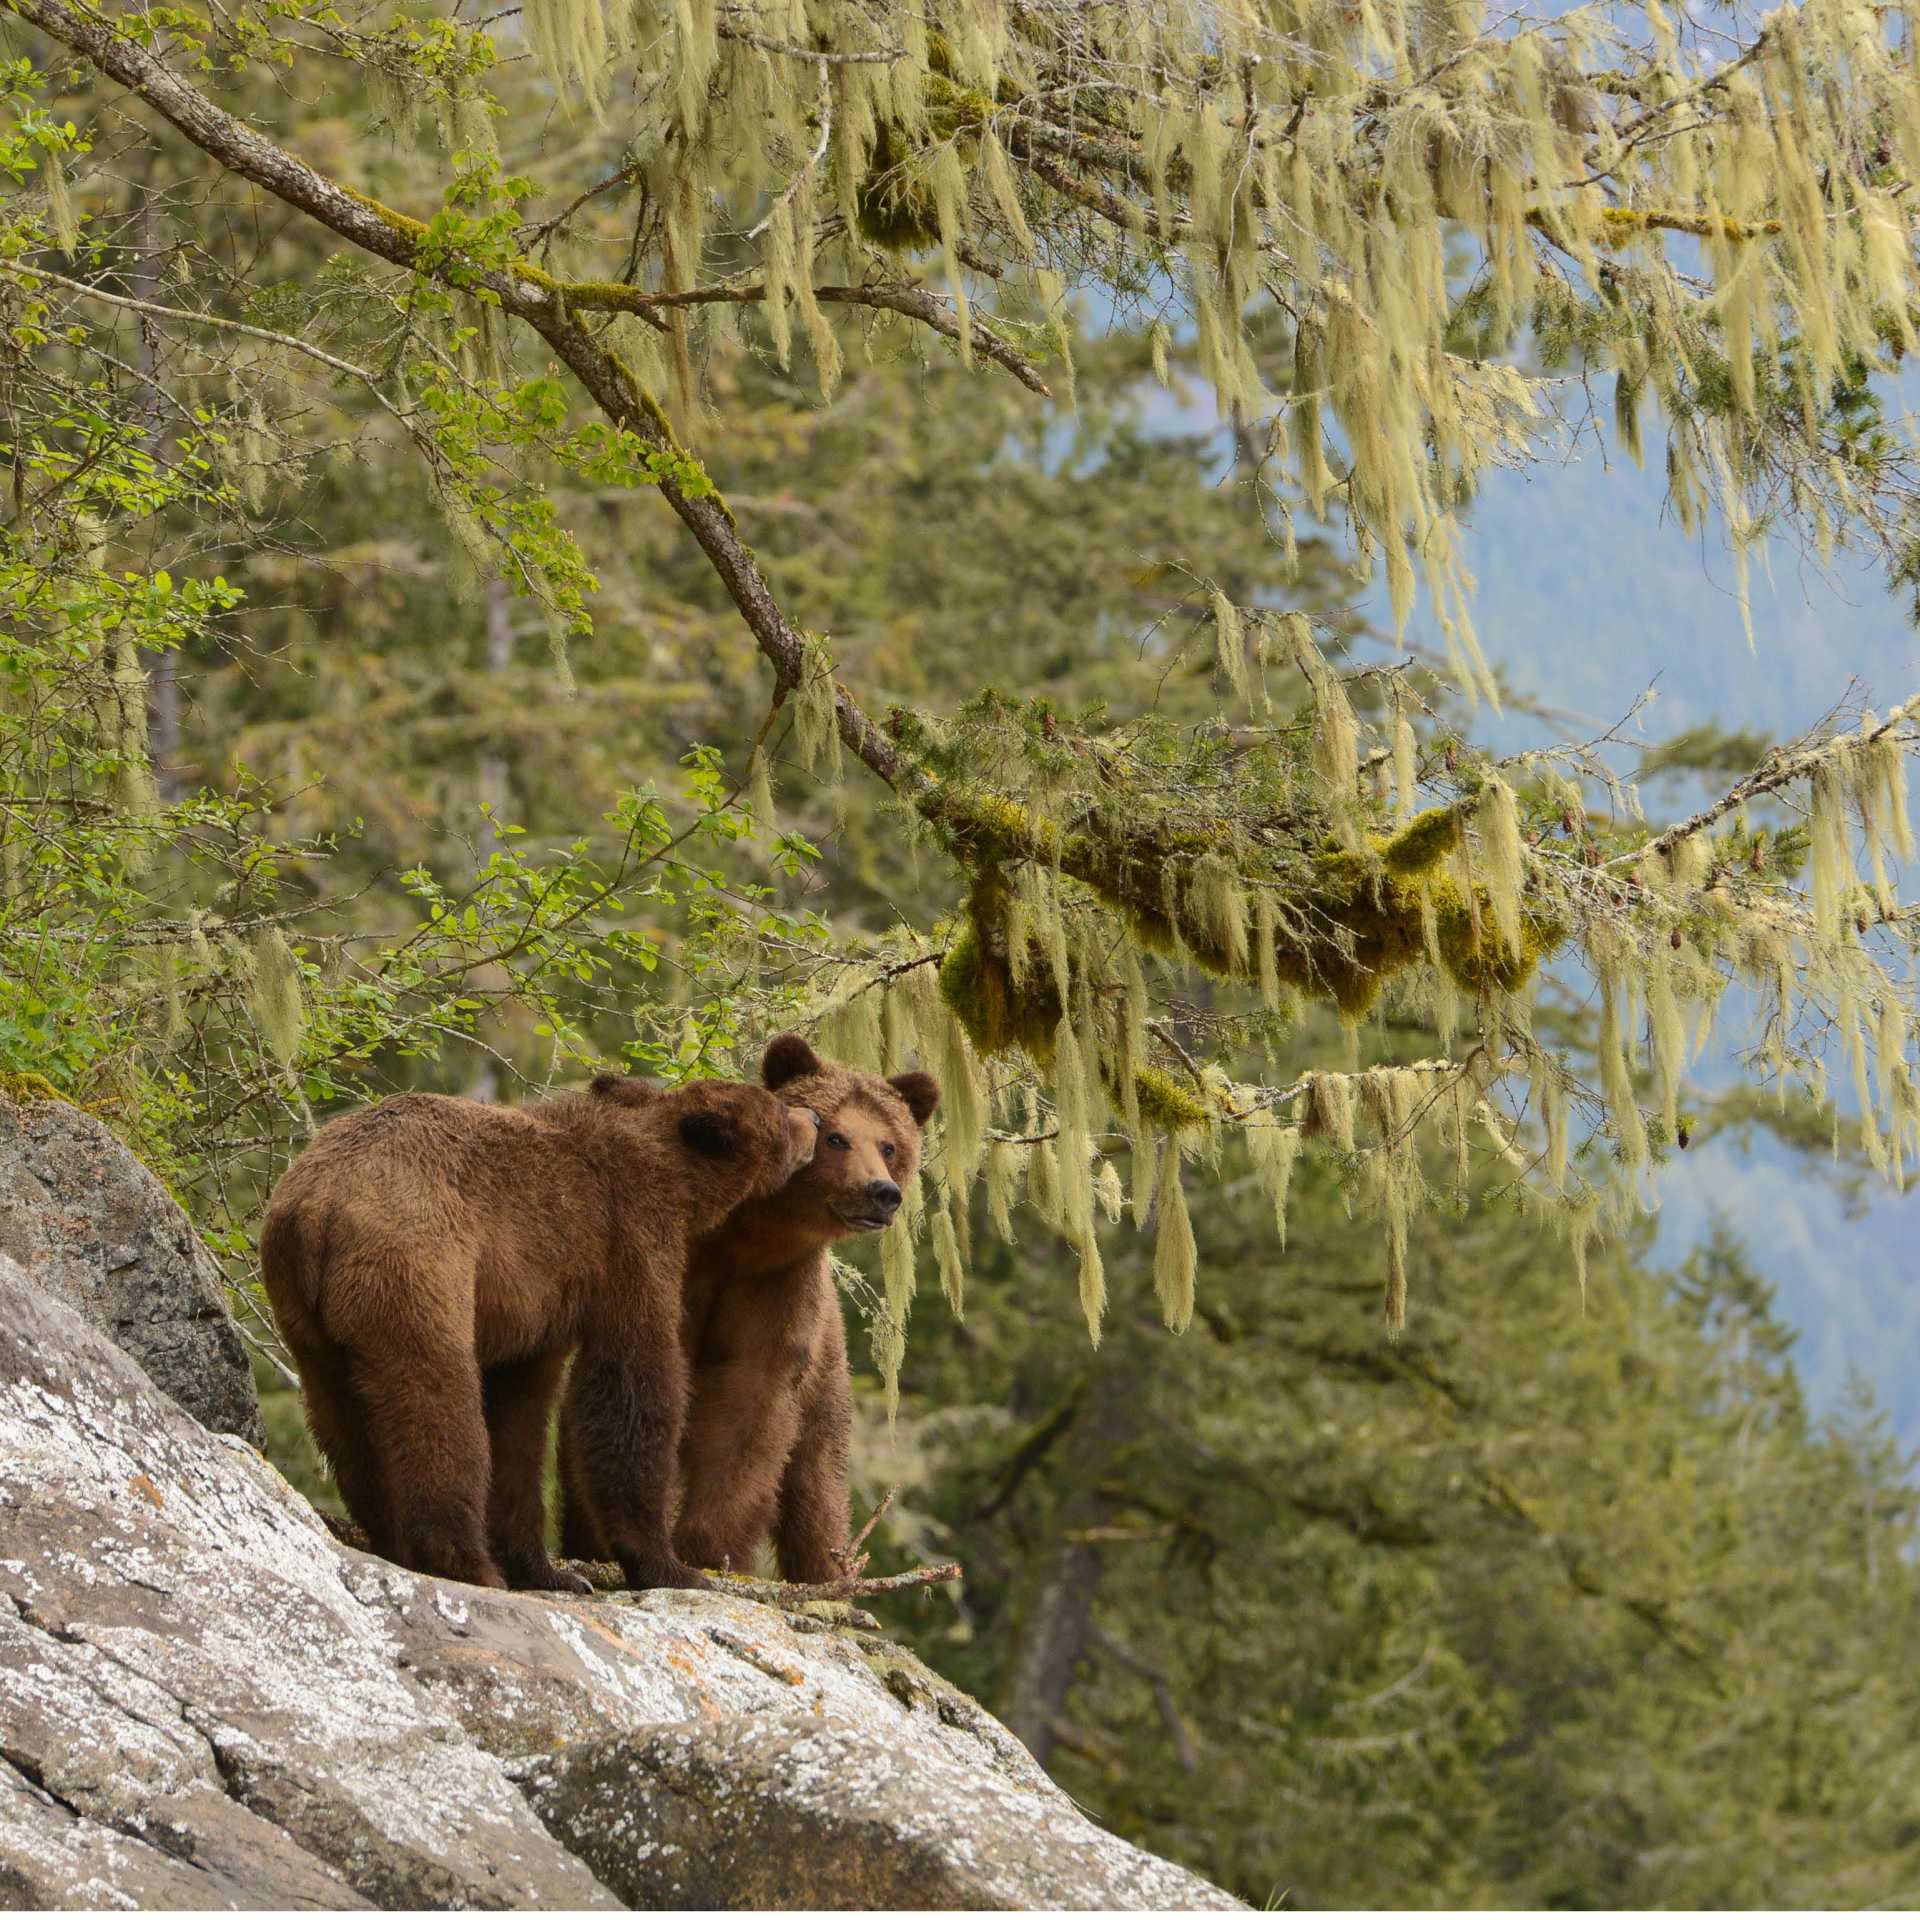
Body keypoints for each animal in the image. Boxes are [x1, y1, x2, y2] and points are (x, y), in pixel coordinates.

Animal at [259, 1075, 817, 1593]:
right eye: (779, 1108)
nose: (811, 1118)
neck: (677, 1183)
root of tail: (317, 1206)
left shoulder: (532, 1308)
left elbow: (519, 1420)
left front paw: (550, 1571)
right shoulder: (625, 1246)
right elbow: (631, 1385)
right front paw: (671, 1567)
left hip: (303, 1311)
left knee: (343, 1422)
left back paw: (394, 1541)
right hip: (414, 1265)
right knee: (436, 1405)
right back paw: (468, 1564)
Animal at [558, 1034, 939, 1583]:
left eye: (889, 1145)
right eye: (838, 1138)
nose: (881, 1192)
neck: (744, 1237)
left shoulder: (774, 1289)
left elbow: (749, 1409)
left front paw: (707, 1548)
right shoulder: (680, 1262)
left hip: (825, 1387)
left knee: (816, 1488)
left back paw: (824, 1570)